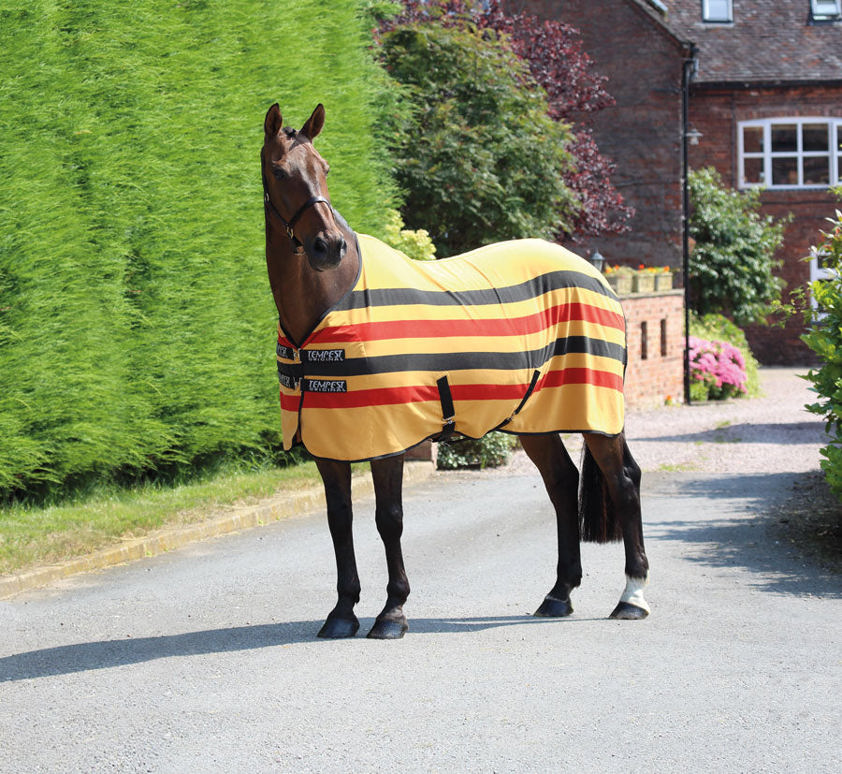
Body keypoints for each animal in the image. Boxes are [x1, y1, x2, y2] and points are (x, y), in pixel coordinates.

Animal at [262, 101, 648, 644]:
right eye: (279, 172)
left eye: (325, 168)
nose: (327, 247)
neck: (330, 305)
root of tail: (596, 276)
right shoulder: (328, 441)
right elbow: (340, 520)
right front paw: (341, 613)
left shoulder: (390, 439)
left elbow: (389, 519)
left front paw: (392, 613)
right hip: (534, 420)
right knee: (561, 483)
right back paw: (558, 594)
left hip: (596, 414)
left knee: (624, 481)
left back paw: (632, 597)